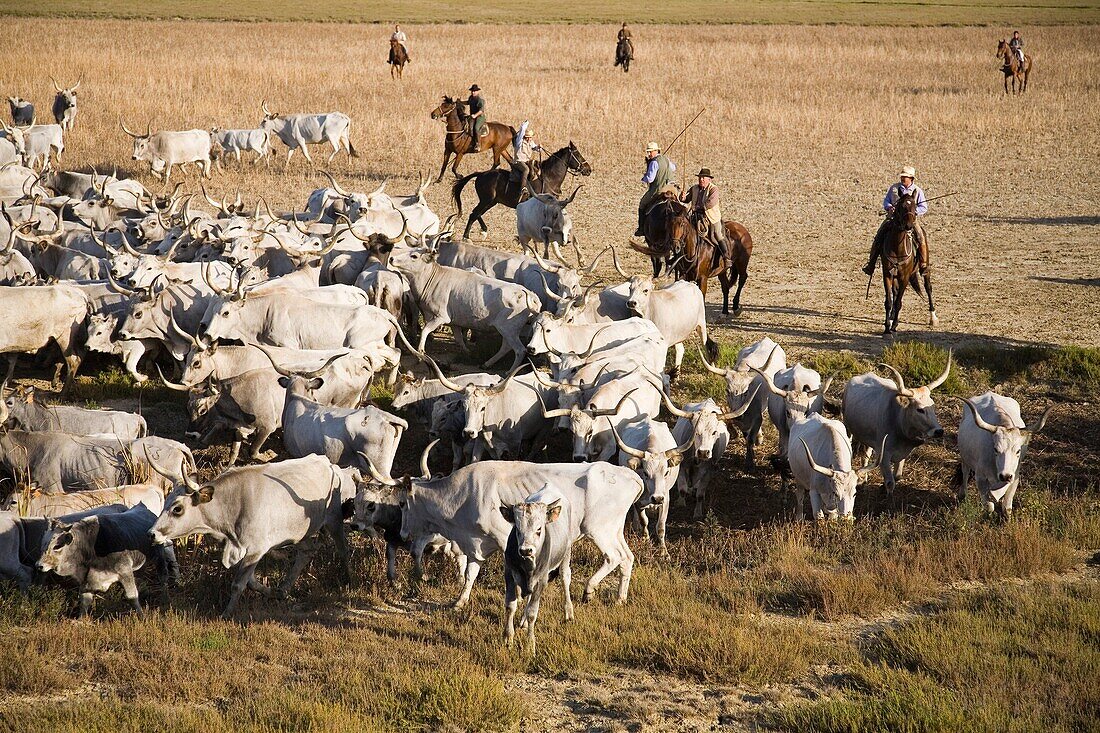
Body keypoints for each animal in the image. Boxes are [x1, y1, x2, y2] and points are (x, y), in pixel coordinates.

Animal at [451, 139, 594, 236]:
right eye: (578, 154)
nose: (588, 170)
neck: (549, 177)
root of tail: (481, 174)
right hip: (487, 200)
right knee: (474, 214)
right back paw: (466, 236)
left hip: (491, 201)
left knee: (476, 213)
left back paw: (483, 231)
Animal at [875, 189, 937, 334]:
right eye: (900, 207)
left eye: (915, 208)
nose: (909, 226)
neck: (898, 247)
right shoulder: (887, 274)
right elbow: (889, 301)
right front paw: (887, 326)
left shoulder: (905, 276)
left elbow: (898, 302)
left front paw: (894, 326)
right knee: (895, 291)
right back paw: (892, 316)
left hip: (924, 268)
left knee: (928, 287)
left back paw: (933, 317)